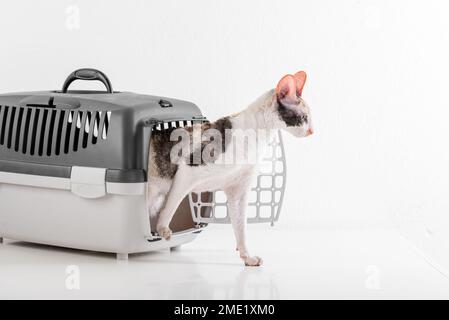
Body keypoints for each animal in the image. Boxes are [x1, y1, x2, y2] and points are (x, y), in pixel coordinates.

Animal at [147, 71, 312, 266]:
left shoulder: (238, 191)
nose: (312, 131)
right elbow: (171, 205)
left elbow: (241, 227)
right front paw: (163, 229)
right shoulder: (188, 171)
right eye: (304, 118)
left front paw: (247, 256)